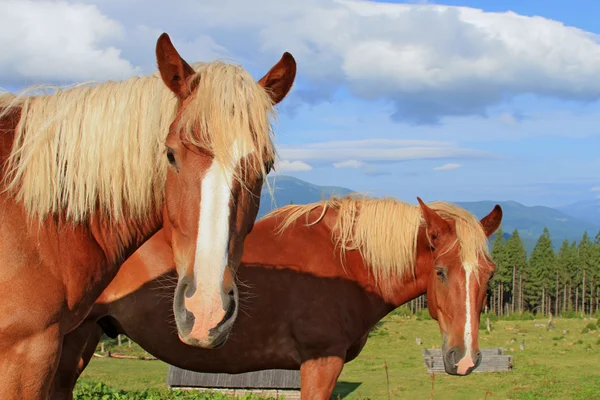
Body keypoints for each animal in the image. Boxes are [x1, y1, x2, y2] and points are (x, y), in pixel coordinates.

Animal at [52, 197, 502, 400]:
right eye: (441, 271)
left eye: (489, 274)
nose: (464, 359)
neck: (345, 262)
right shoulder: (320, 363)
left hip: (82, 339)